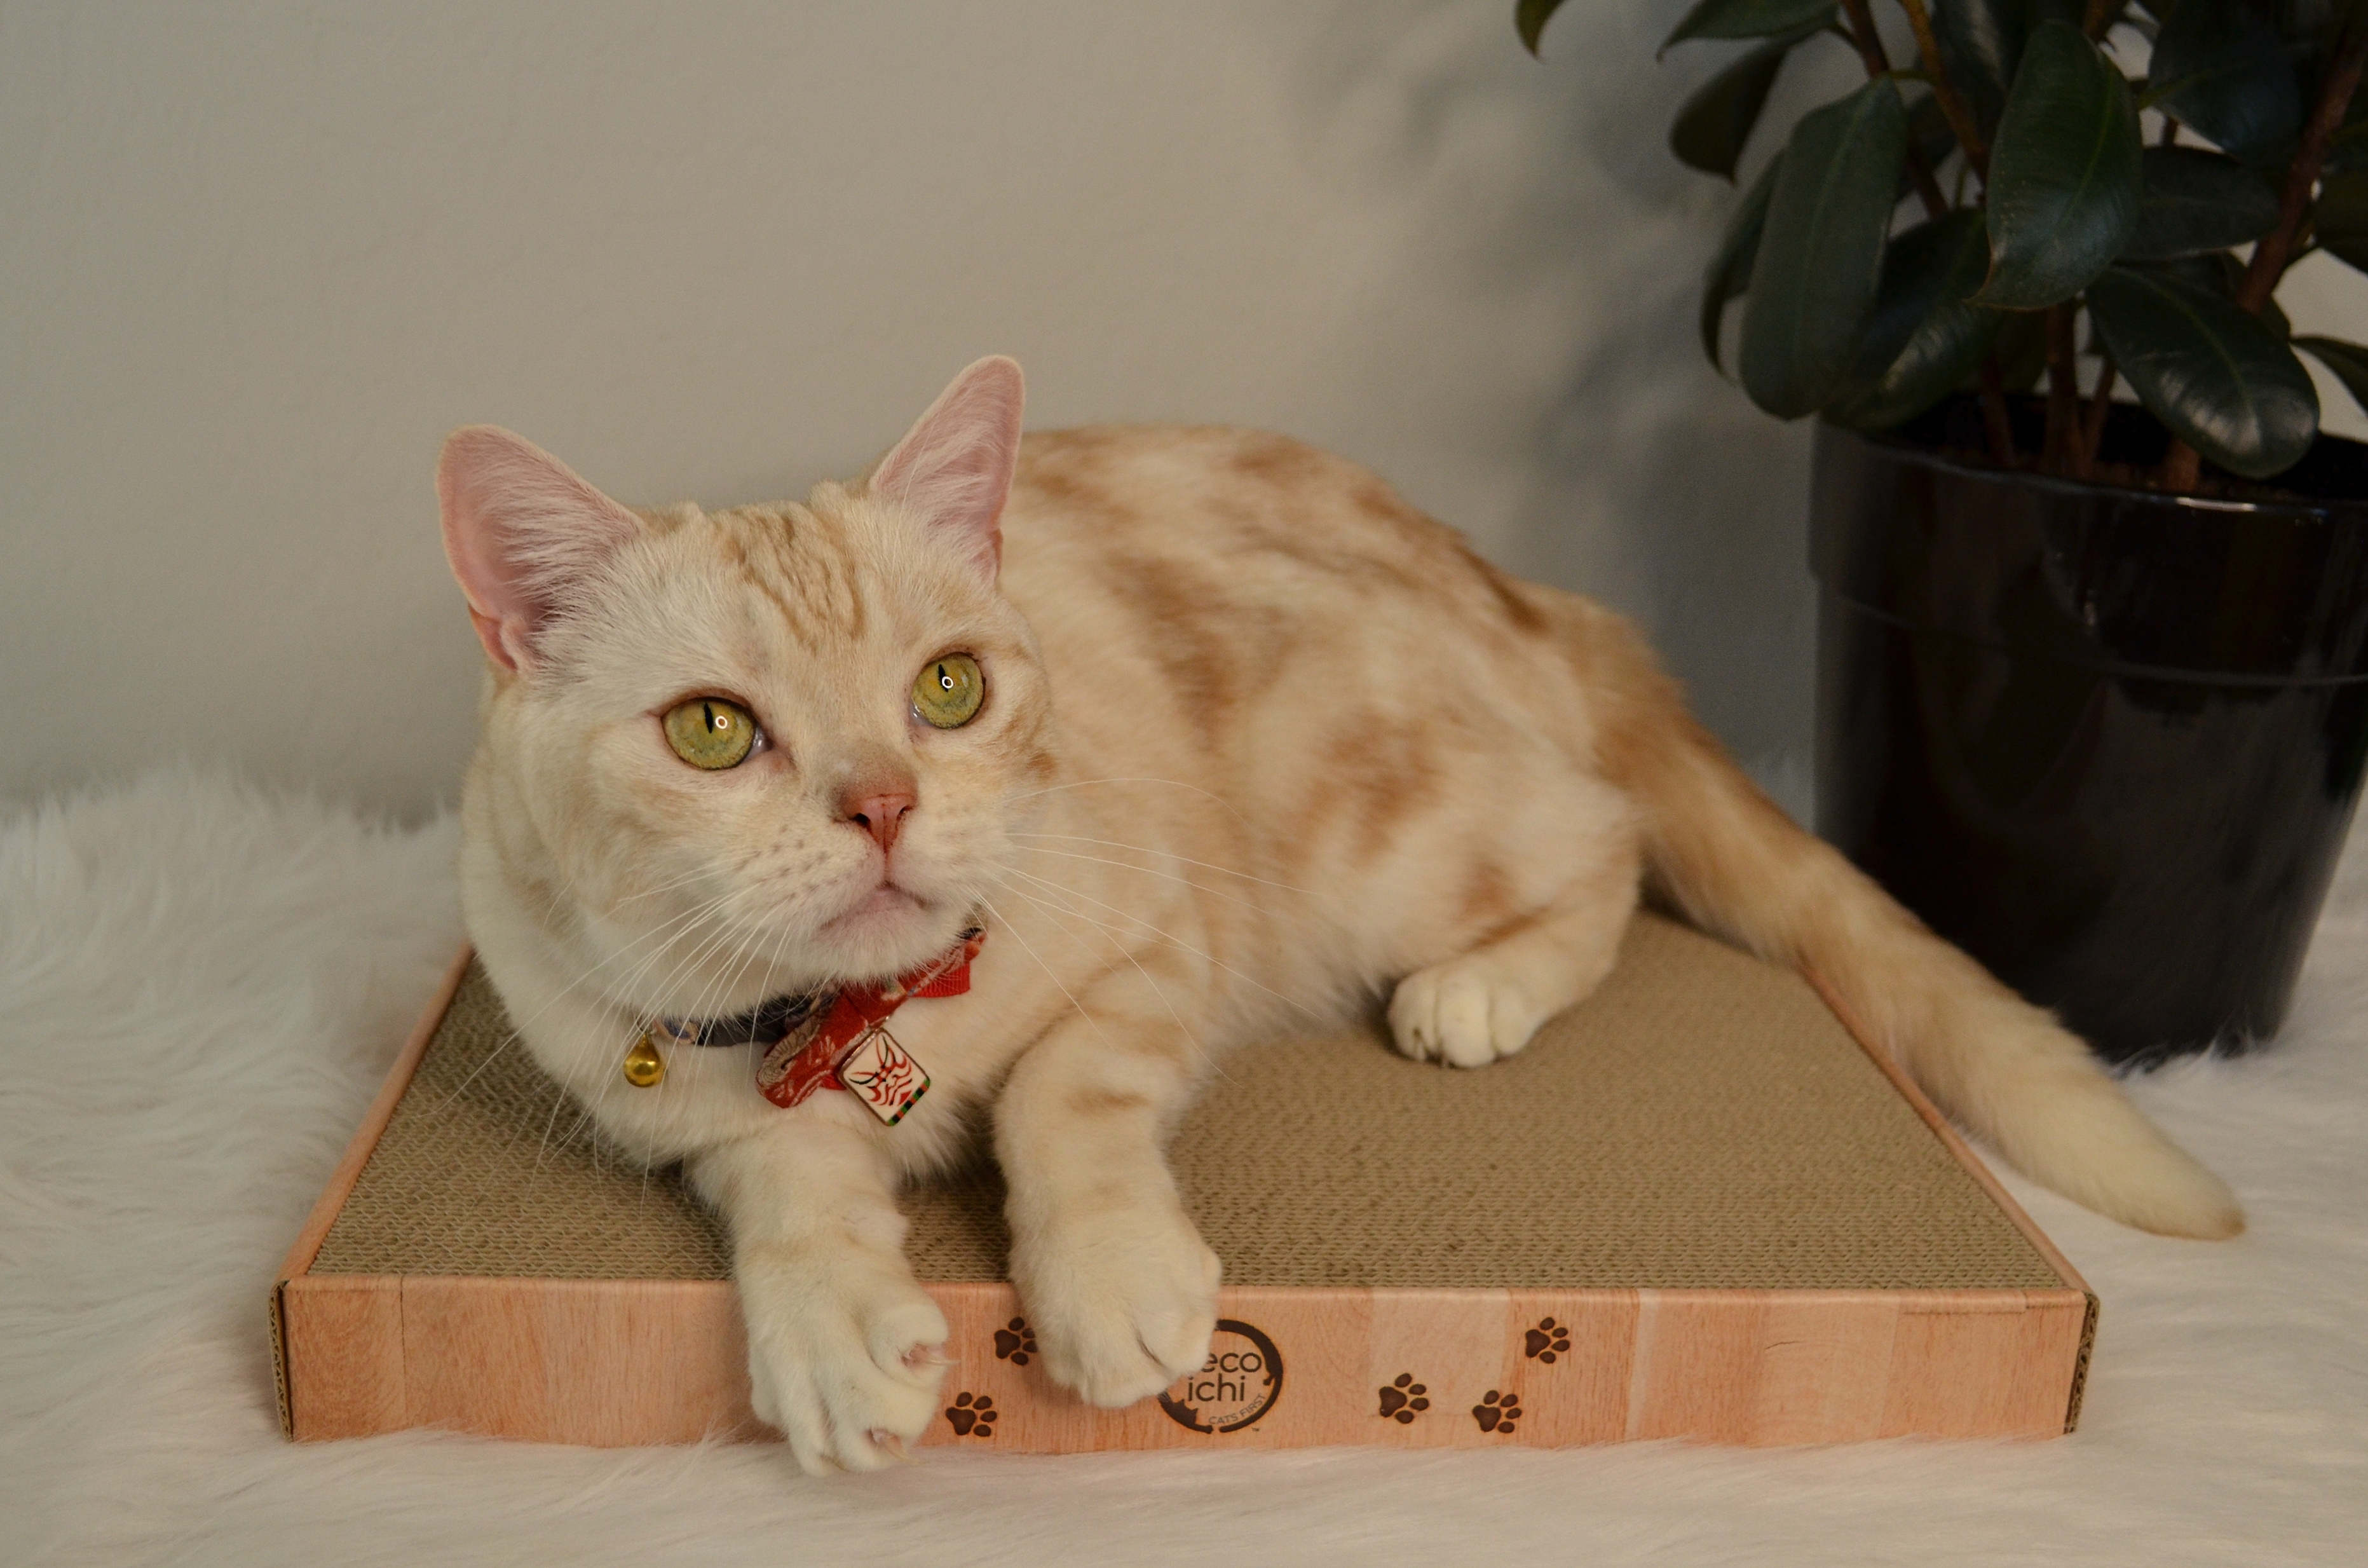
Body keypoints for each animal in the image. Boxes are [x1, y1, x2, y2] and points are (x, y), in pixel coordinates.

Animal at [440, 355, 2235, 1478]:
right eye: (712, 731)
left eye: (947, 690)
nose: (883, 803)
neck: (878, 1031)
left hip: (1375, 817)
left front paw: (1106, 1281)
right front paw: (831, 1329)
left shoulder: (1162, 940)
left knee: (1603, 847)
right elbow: (780, 1176)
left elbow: (1063, 1096)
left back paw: (1476, 991)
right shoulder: (657, 1086)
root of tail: (1527, 589)